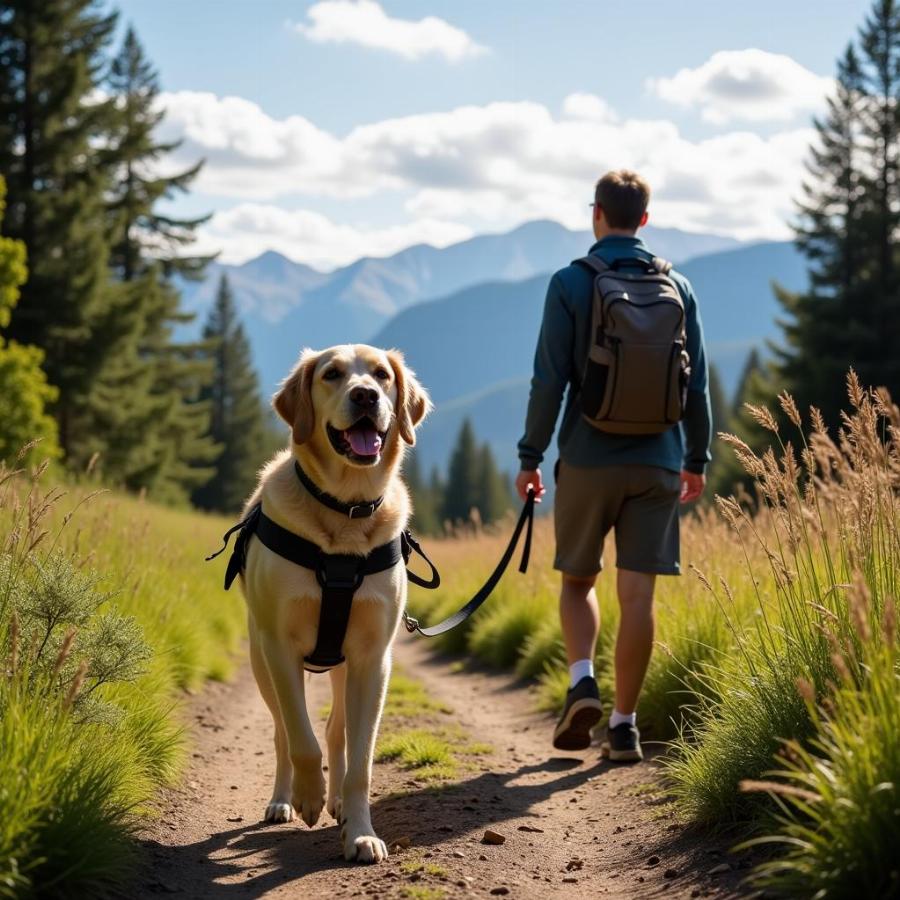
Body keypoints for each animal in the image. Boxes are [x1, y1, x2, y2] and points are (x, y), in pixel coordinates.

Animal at [239, 342, 432, 860]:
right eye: (332, 374)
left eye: (382, 375)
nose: (365, 396)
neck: (346, 507)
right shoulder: (279, 646)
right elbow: (300, 739)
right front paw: (307, 797)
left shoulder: (373, 659)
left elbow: (360, 760)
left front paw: (361, 831)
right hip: (260, 661)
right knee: (283, 732)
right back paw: (284, 799)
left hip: (346, 668)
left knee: (337, 731)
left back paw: (339, 804)